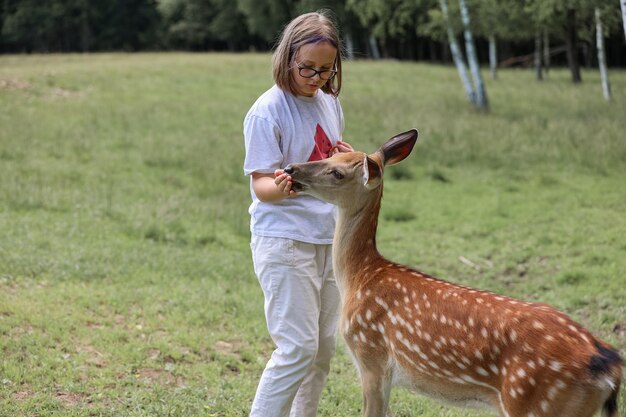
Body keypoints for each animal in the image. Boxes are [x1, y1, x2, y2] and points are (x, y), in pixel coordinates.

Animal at [282, 128, 620, 414]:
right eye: (331, 154)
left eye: (336, 171)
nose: (291, 169)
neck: (360, 276)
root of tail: (609, 367)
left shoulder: (371, 357)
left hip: (535, 400)